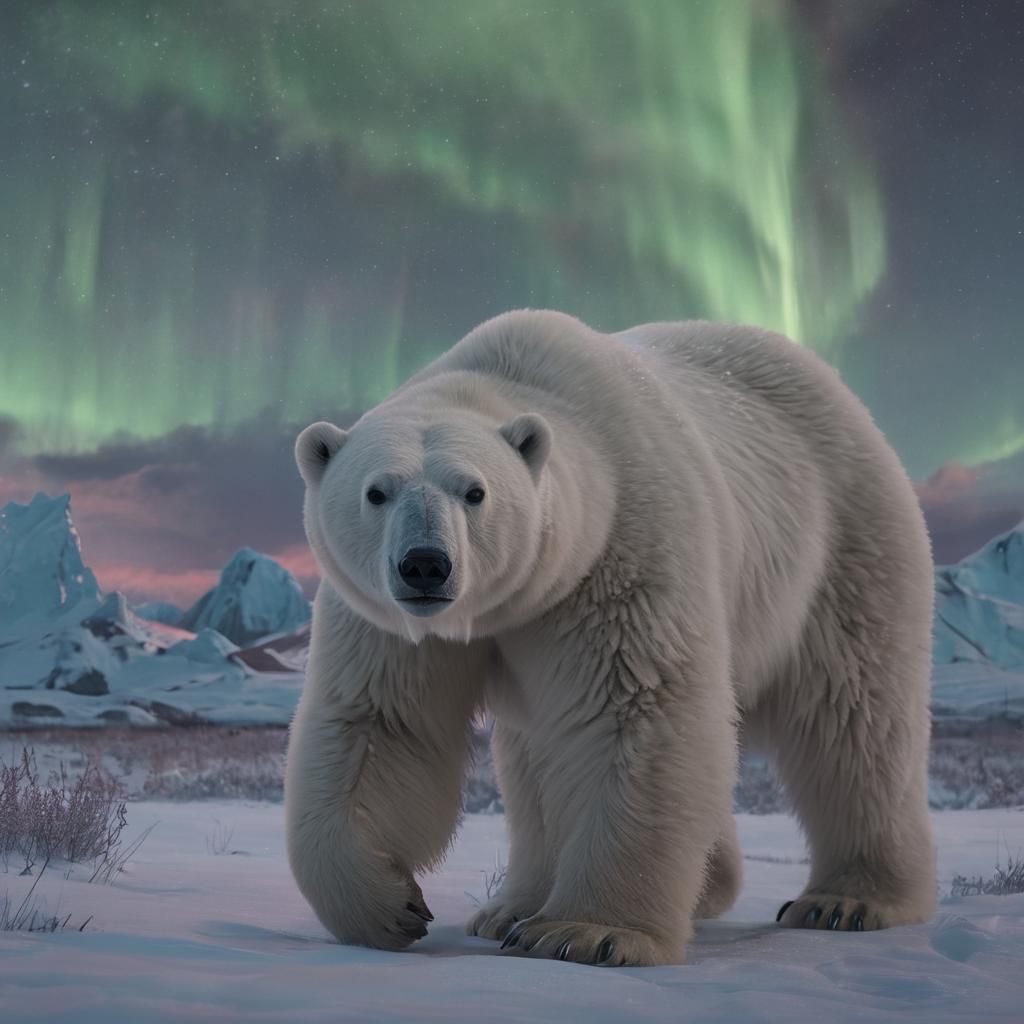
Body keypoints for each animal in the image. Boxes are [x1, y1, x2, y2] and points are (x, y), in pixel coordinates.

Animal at [285, 309, 936, 966]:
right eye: (376, 491)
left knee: (851, 719)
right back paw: (515, 907)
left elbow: (632, 712)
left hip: (842, 544)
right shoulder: (388, 622)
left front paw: (587, 933)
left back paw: (847, 901)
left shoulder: (621, 551)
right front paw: (388, 906)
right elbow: (380, 724)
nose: (425, 565)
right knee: (532, 759)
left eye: (475, 492)